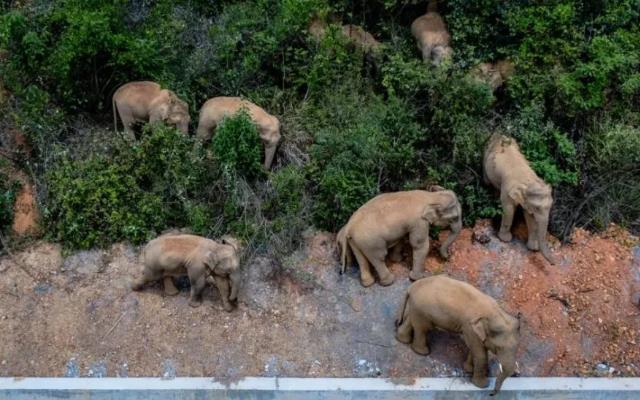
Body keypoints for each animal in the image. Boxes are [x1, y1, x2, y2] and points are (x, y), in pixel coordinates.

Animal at [484, 134, 556, 266]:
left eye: (550, 206)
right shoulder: (507, 190)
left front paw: (533, 248)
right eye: (537, 207)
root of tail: (500, 134)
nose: (553, 264)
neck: (527, 181)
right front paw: (505, 239)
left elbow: (529, 216)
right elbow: (508, 210)